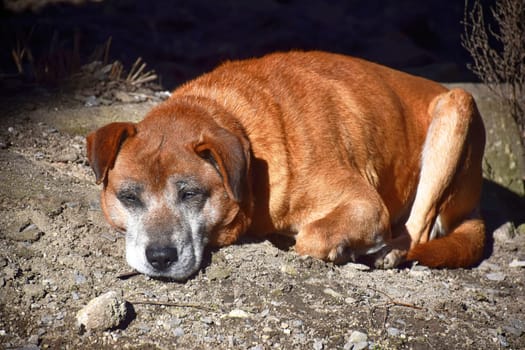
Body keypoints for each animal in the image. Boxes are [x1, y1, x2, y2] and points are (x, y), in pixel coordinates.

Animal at [85, 51, 484, 278]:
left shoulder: (366, 204)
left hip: (457, 108)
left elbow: (312, 235)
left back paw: (389, 251)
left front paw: (343, 247)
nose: (160, 257)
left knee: (419, 228)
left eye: (190, 194)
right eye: (129, 197)